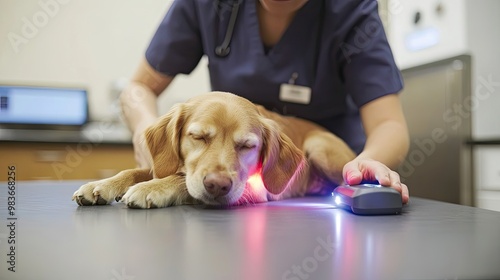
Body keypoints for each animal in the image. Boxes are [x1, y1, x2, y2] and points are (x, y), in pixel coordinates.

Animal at [73, 92, 356, 208]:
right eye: (198, 137)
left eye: (247, 146)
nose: (218, 185)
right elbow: (135, 171)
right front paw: (102, 185)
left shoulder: (254, 188)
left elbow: (180, 180)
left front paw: (152, 188)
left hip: (319, 147)